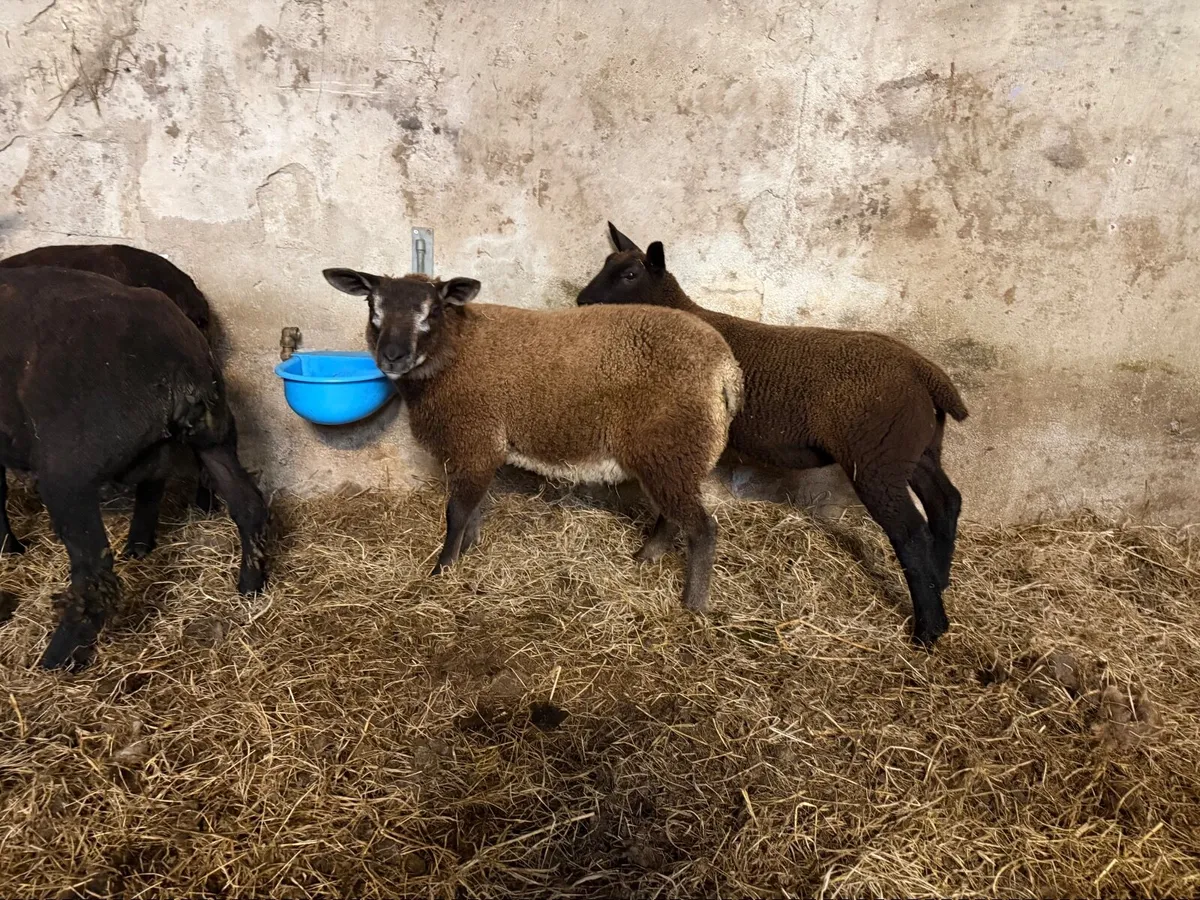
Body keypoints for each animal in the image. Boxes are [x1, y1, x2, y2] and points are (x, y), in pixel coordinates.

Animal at [321, 267, 744, 612]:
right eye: (373, 308)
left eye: (432, 312)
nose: (392, 357)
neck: (456, 349)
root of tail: (726, 370)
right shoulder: (478, 447)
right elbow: (472, 508)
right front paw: (468, 549)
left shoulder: (473, 437)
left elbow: (456, 511)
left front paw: (443, 569)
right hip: (671, 454)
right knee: (672, 517)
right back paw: (646, 558)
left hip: (674, 445)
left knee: (702, 529)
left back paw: (693, 604)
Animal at [576, 224, 968, 647]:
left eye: (630, 275)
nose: (582, 303)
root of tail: (924, 372)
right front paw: (652, 554)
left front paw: (651, 552)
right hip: (916, 450)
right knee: (945, 502)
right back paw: (941, 583)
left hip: (877, 458)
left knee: (910, 533)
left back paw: (928, 629)